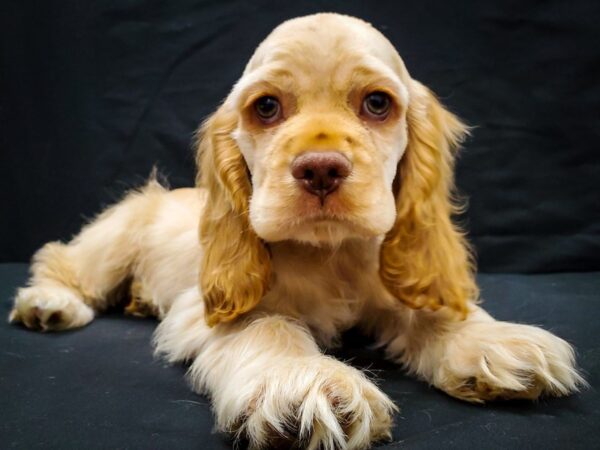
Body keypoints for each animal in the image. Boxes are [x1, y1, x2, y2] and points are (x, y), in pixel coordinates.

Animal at [9, 12, 584, 448]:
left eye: (377, 103)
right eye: (266, 106)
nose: (321, 169)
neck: (331, 253)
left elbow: (430, 310)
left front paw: (492, 341)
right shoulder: (219, 307)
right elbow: (271, 328)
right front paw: (309, 385)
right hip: (114, 238)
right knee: (64, 261)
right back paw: (49, 304)